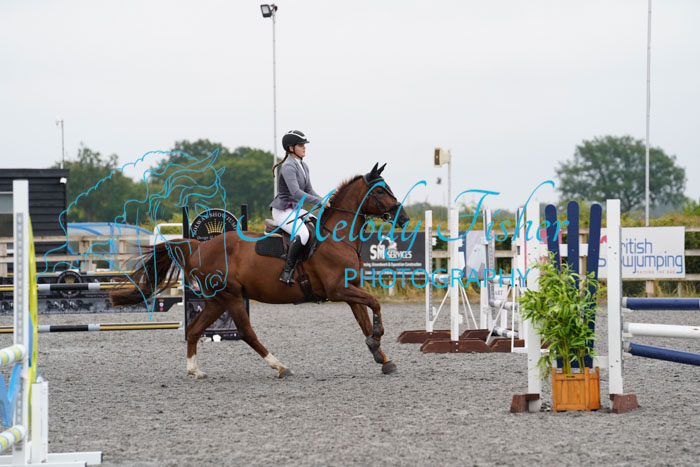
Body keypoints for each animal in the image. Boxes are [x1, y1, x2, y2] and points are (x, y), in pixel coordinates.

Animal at [111, 163, 410, 379]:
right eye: (380, 191)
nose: (403, 217)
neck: (337, 237)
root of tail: (199, 245)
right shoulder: (339, 290)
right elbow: (375, 304)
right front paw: (378, 337)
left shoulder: (350, 290)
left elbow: (364, 319)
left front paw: (381, 356)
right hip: (231, 297)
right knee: (246, 333)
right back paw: (280, 367)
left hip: (218, 300)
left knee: (195, 329)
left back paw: (195, 370)